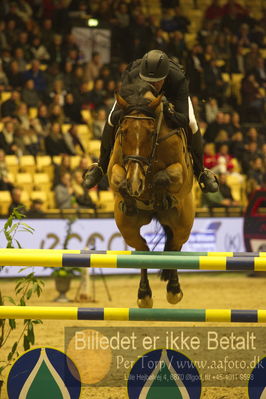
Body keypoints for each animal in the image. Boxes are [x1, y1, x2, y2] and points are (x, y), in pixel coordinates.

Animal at [107, 82, 194, 310]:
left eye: (151, 133)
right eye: (124, 132)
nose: (135, 183)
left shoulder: (180, 171)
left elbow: (164, 176)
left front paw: (158, 195)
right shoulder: (114, 169)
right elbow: (119, 180)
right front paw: (131, 196)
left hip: (183, 224)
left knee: (174, 248)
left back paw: (174, 290)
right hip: (127, 227)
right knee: (143, 249)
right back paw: (144, 295)